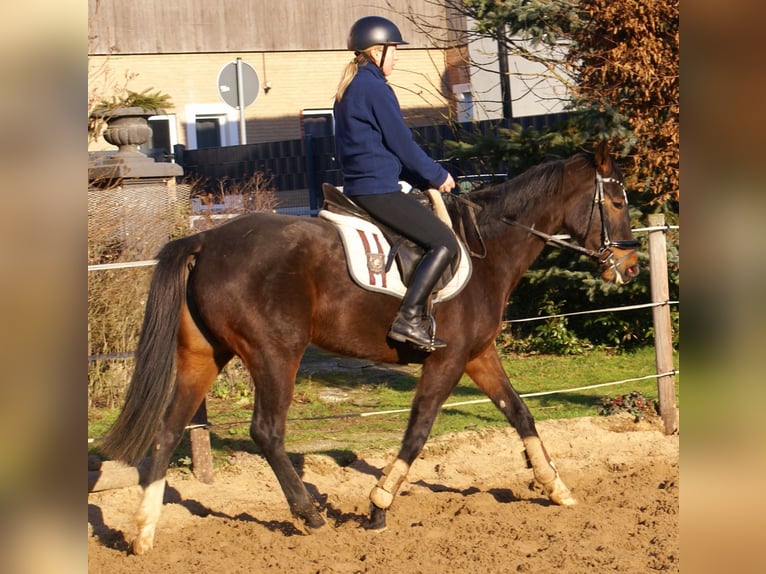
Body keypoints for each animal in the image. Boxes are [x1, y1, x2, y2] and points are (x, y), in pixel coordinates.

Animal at [100, 140, 640, 554]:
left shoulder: (478, 356)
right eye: (616, 202)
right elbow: (418, 431)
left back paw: (143, 532)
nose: (631, 267)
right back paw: (309, 515)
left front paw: (556, 487)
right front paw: (379, 505)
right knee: (267, 432)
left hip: (203, 355)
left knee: (168, 430)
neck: (490, 248)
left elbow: (520, 413)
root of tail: (206, 241)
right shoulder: (446, 359)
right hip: (277, 354)